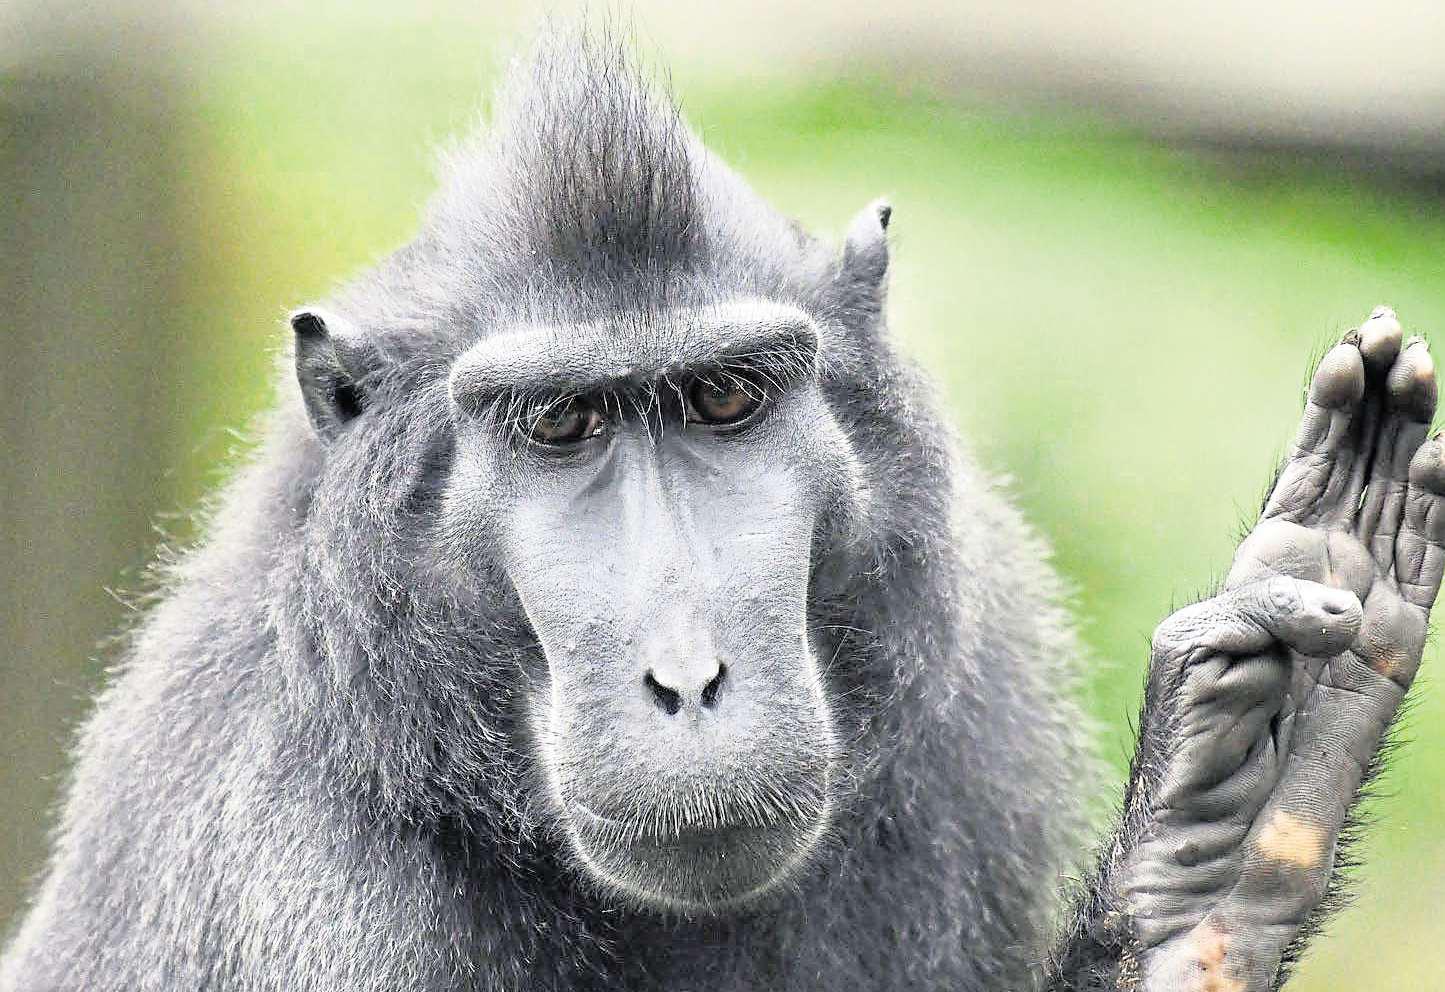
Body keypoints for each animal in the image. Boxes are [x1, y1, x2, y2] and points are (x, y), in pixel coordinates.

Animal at [2, 29, 1441, 992]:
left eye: (723, 397)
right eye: (561, 426)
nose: (691, 677)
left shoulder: (969, 747)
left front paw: (1222, 864)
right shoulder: (310, 899)